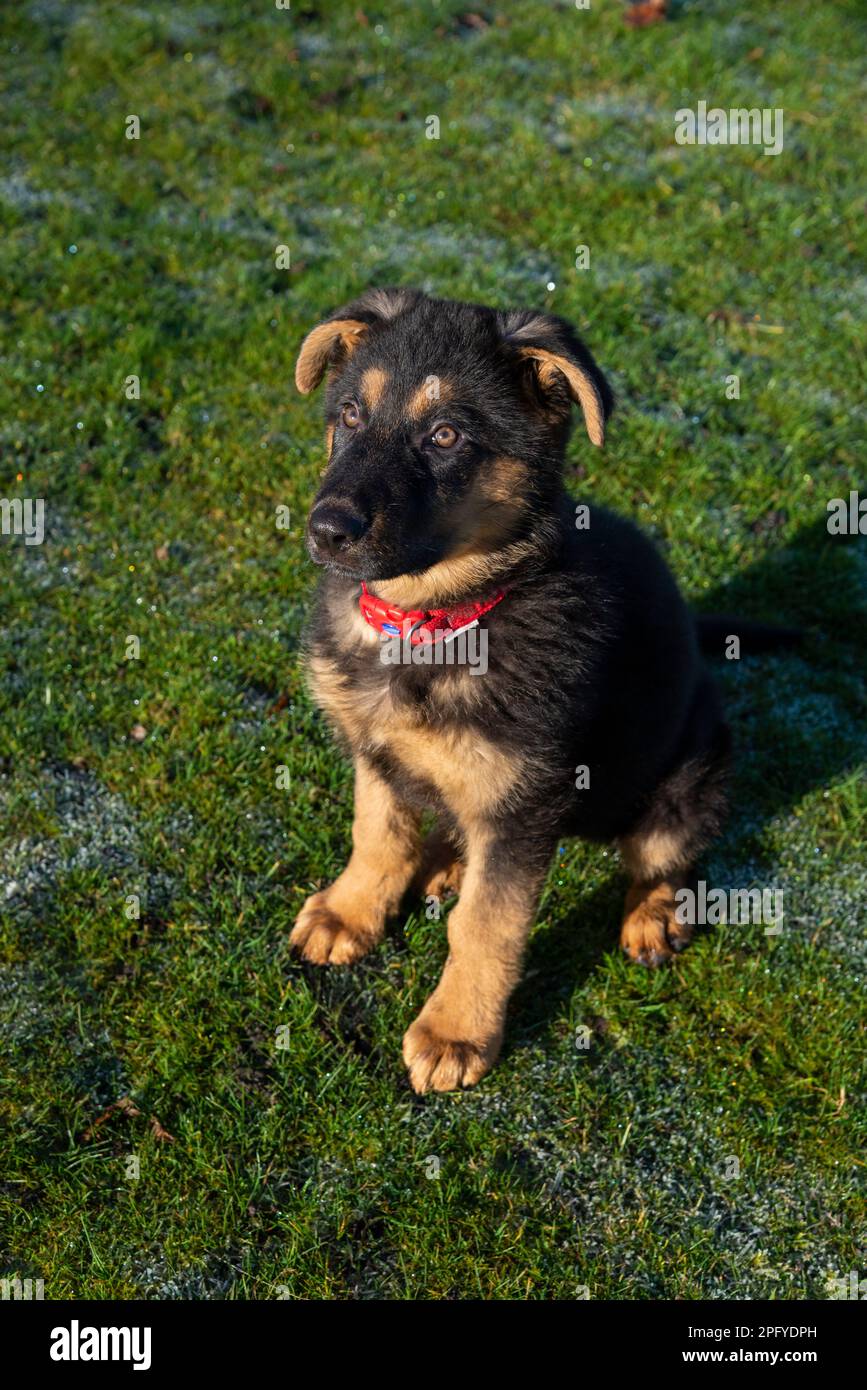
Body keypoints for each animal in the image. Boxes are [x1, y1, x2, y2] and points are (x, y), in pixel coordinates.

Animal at [291, 290, 733, 1095]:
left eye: (445, 436)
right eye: (350, 416)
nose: (326, 530)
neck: (436, 622)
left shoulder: (526, 802)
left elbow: (485, 925)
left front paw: (455, 1032)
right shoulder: (377, 753)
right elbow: (377, 836)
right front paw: (349, 913)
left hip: (687, 772)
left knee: (668, 851)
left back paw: (653, 913)